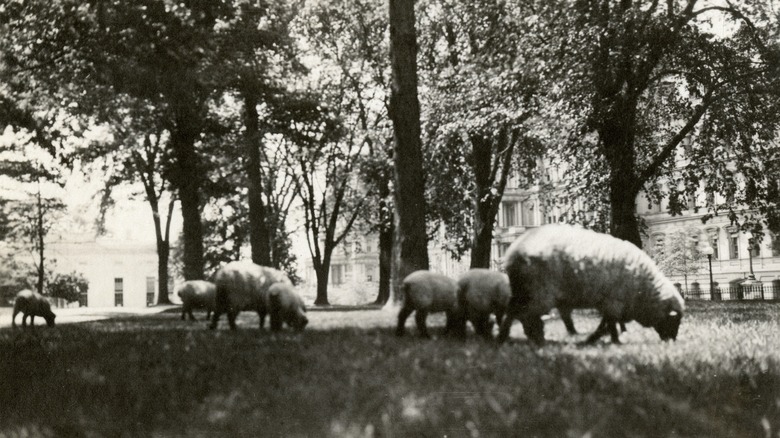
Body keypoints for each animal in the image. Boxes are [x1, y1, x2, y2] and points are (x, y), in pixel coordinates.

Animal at [496, 226, 684, 346]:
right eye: (674, 321)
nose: (671, 342)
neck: (645, 290)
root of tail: (512, 252)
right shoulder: (614, 301)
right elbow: (609, 324)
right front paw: (611, 340)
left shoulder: (610, 303)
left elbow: (607, 324)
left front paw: (598, 339)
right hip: (537, 291)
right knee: (520, 312)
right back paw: (513, 337)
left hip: (525, 290)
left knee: (519, 312)